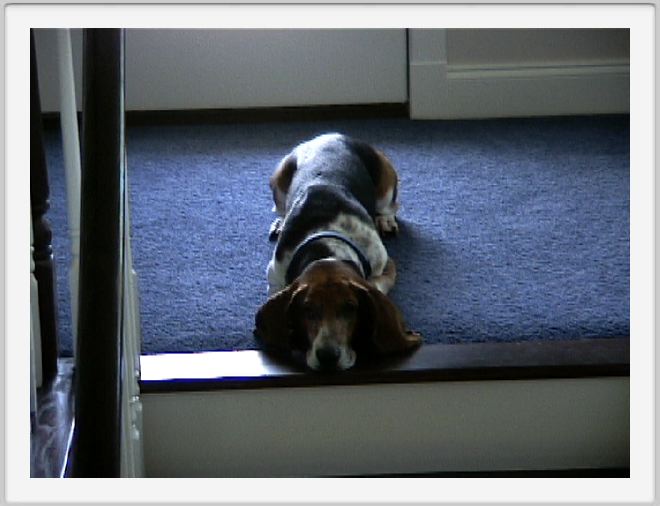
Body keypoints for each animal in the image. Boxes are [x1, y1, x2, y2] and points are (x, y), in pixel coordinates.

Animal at [254, 132, 422, 372]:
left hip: (386, 181)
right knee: (280, 208)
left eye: (350, 308)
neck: (327, 245)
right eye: (308, 310)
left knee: (389, 206)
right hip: (278, 180)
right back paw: (280, 222)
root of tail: (333, 135)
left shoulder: (386, 265)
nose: (327, 356)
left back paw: (385, 220)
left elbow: (375, 285)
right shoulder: (275, 275)